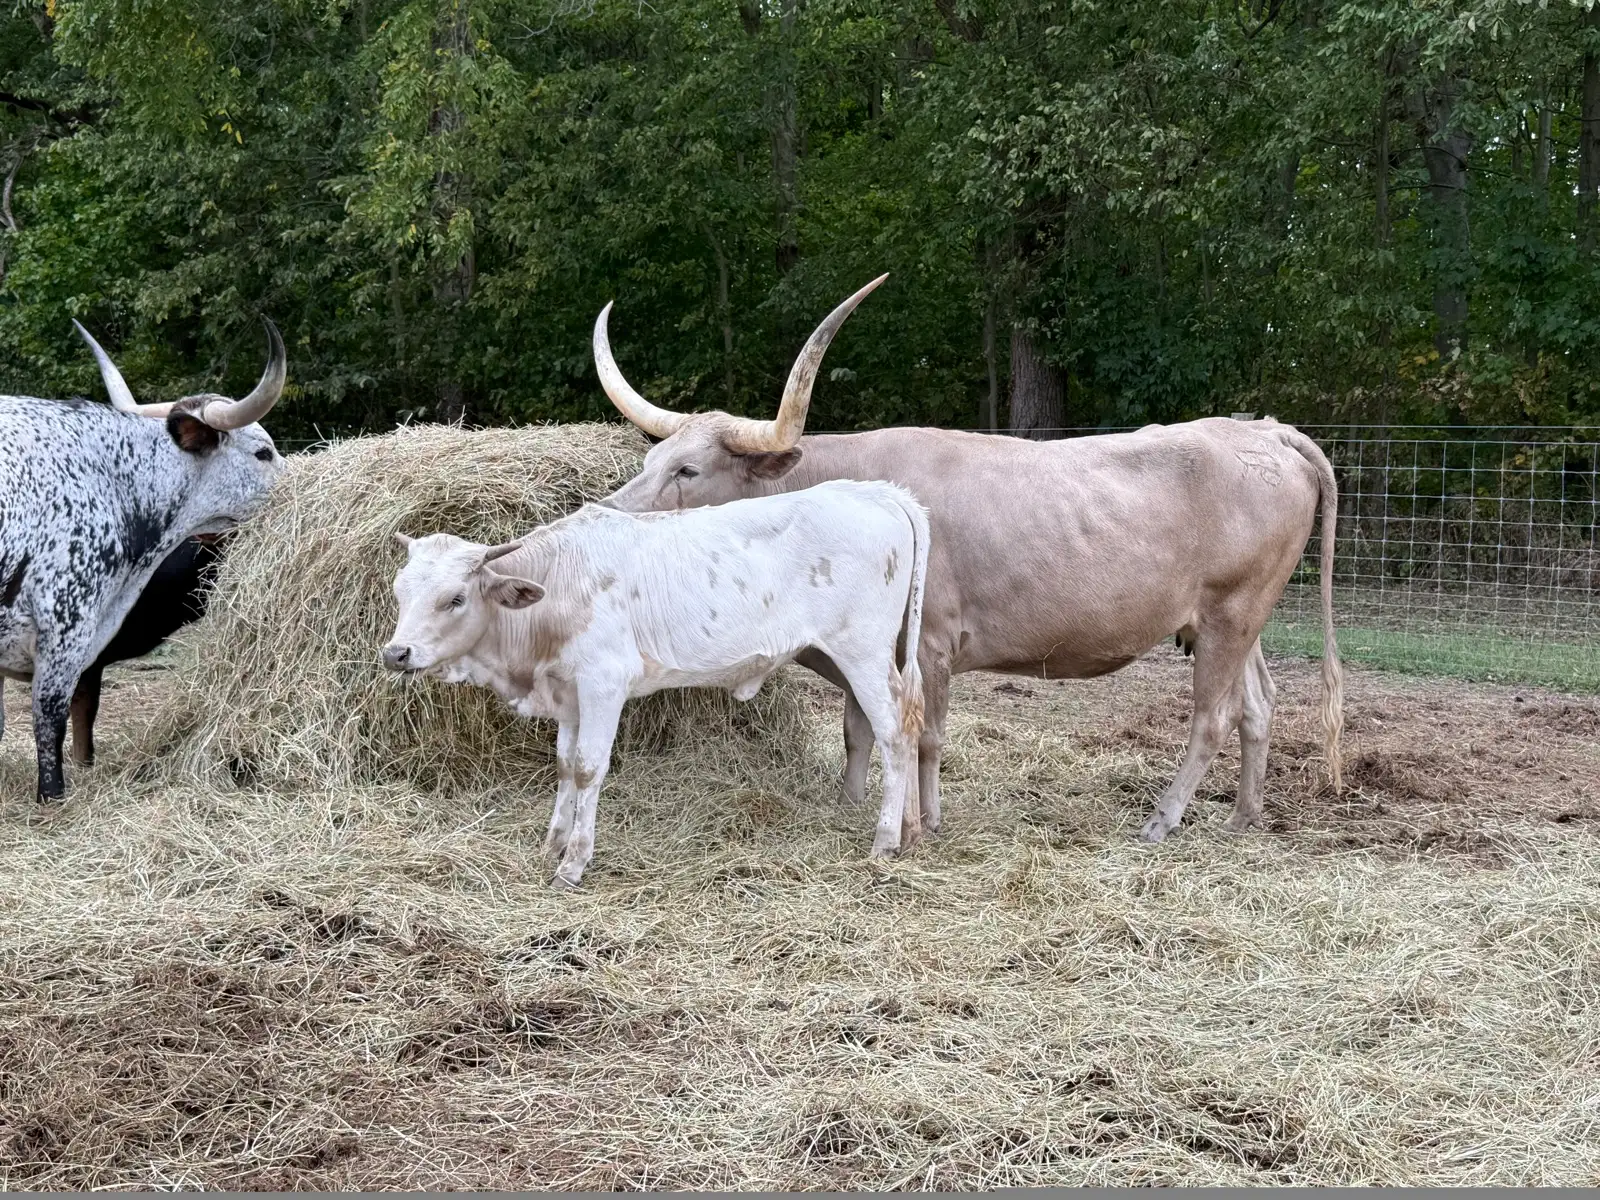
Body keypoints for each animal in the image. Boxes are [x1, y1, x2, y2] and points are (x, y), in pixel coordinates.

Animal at [381, 479, 930, 888]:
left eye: (455, 598)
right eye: (398, 591)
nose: (395, 652)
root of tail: (875, 491)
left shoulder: (603, 683)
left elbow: (588, 769)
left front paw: (573, 863)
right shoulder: (568, 694)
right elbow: (563, 766)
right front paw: (551, 844)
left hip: (862, 652)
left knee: (894, 734)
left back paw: (885, 840)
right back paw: (910, 831)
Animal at [592, 276, 1343, 845]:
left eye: (688, 470)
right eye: (652, 460)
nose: (606, 514)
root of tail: (1266, 430)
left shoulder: (931, 643)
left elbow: (923, 734)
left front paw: (924, 824)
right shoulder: (865, 644)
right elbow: (857, 729)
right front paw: (852, 802)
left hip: (1231, 614)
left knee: (1213, 718)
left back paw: (1161, 820)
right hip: (1237, 621)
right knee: (1258, 707)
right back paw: (1245, 817)